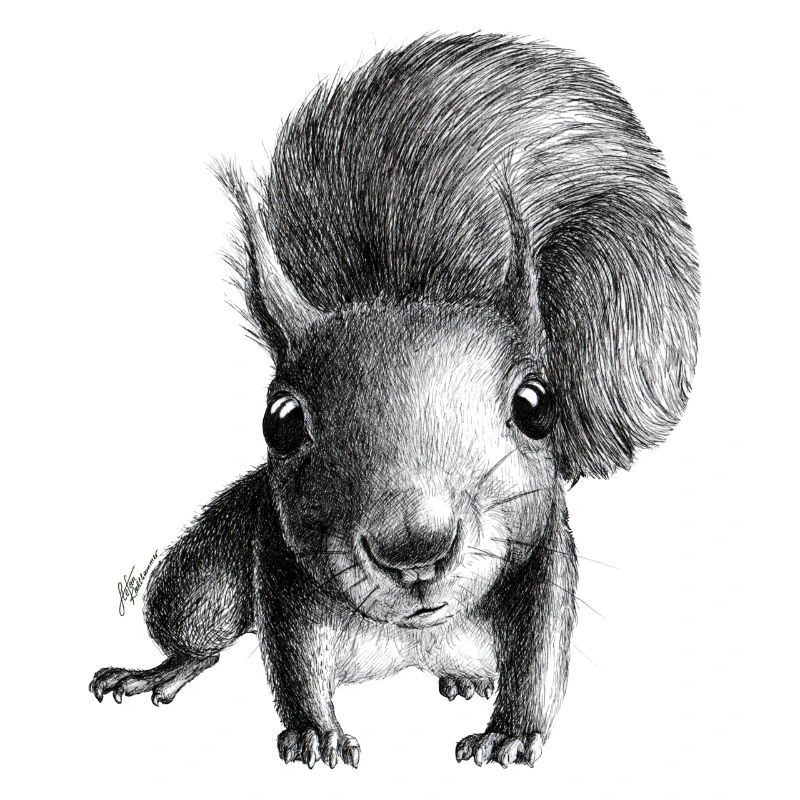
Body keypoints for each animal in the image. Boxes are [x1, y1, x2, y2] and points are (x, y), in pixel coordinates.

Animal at [89, 33, 699, 769]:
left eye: (536, 407)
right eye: (279, 421)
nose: (415, 548)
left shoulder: (546, 553)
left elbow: (541, 654)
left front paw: (511, 735)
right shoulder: (278, 556)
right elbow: (292, 657)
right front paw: (315, 734)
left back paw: (465, 679)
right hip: (199, 580)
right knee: (198, 629)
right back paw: (160, 670)